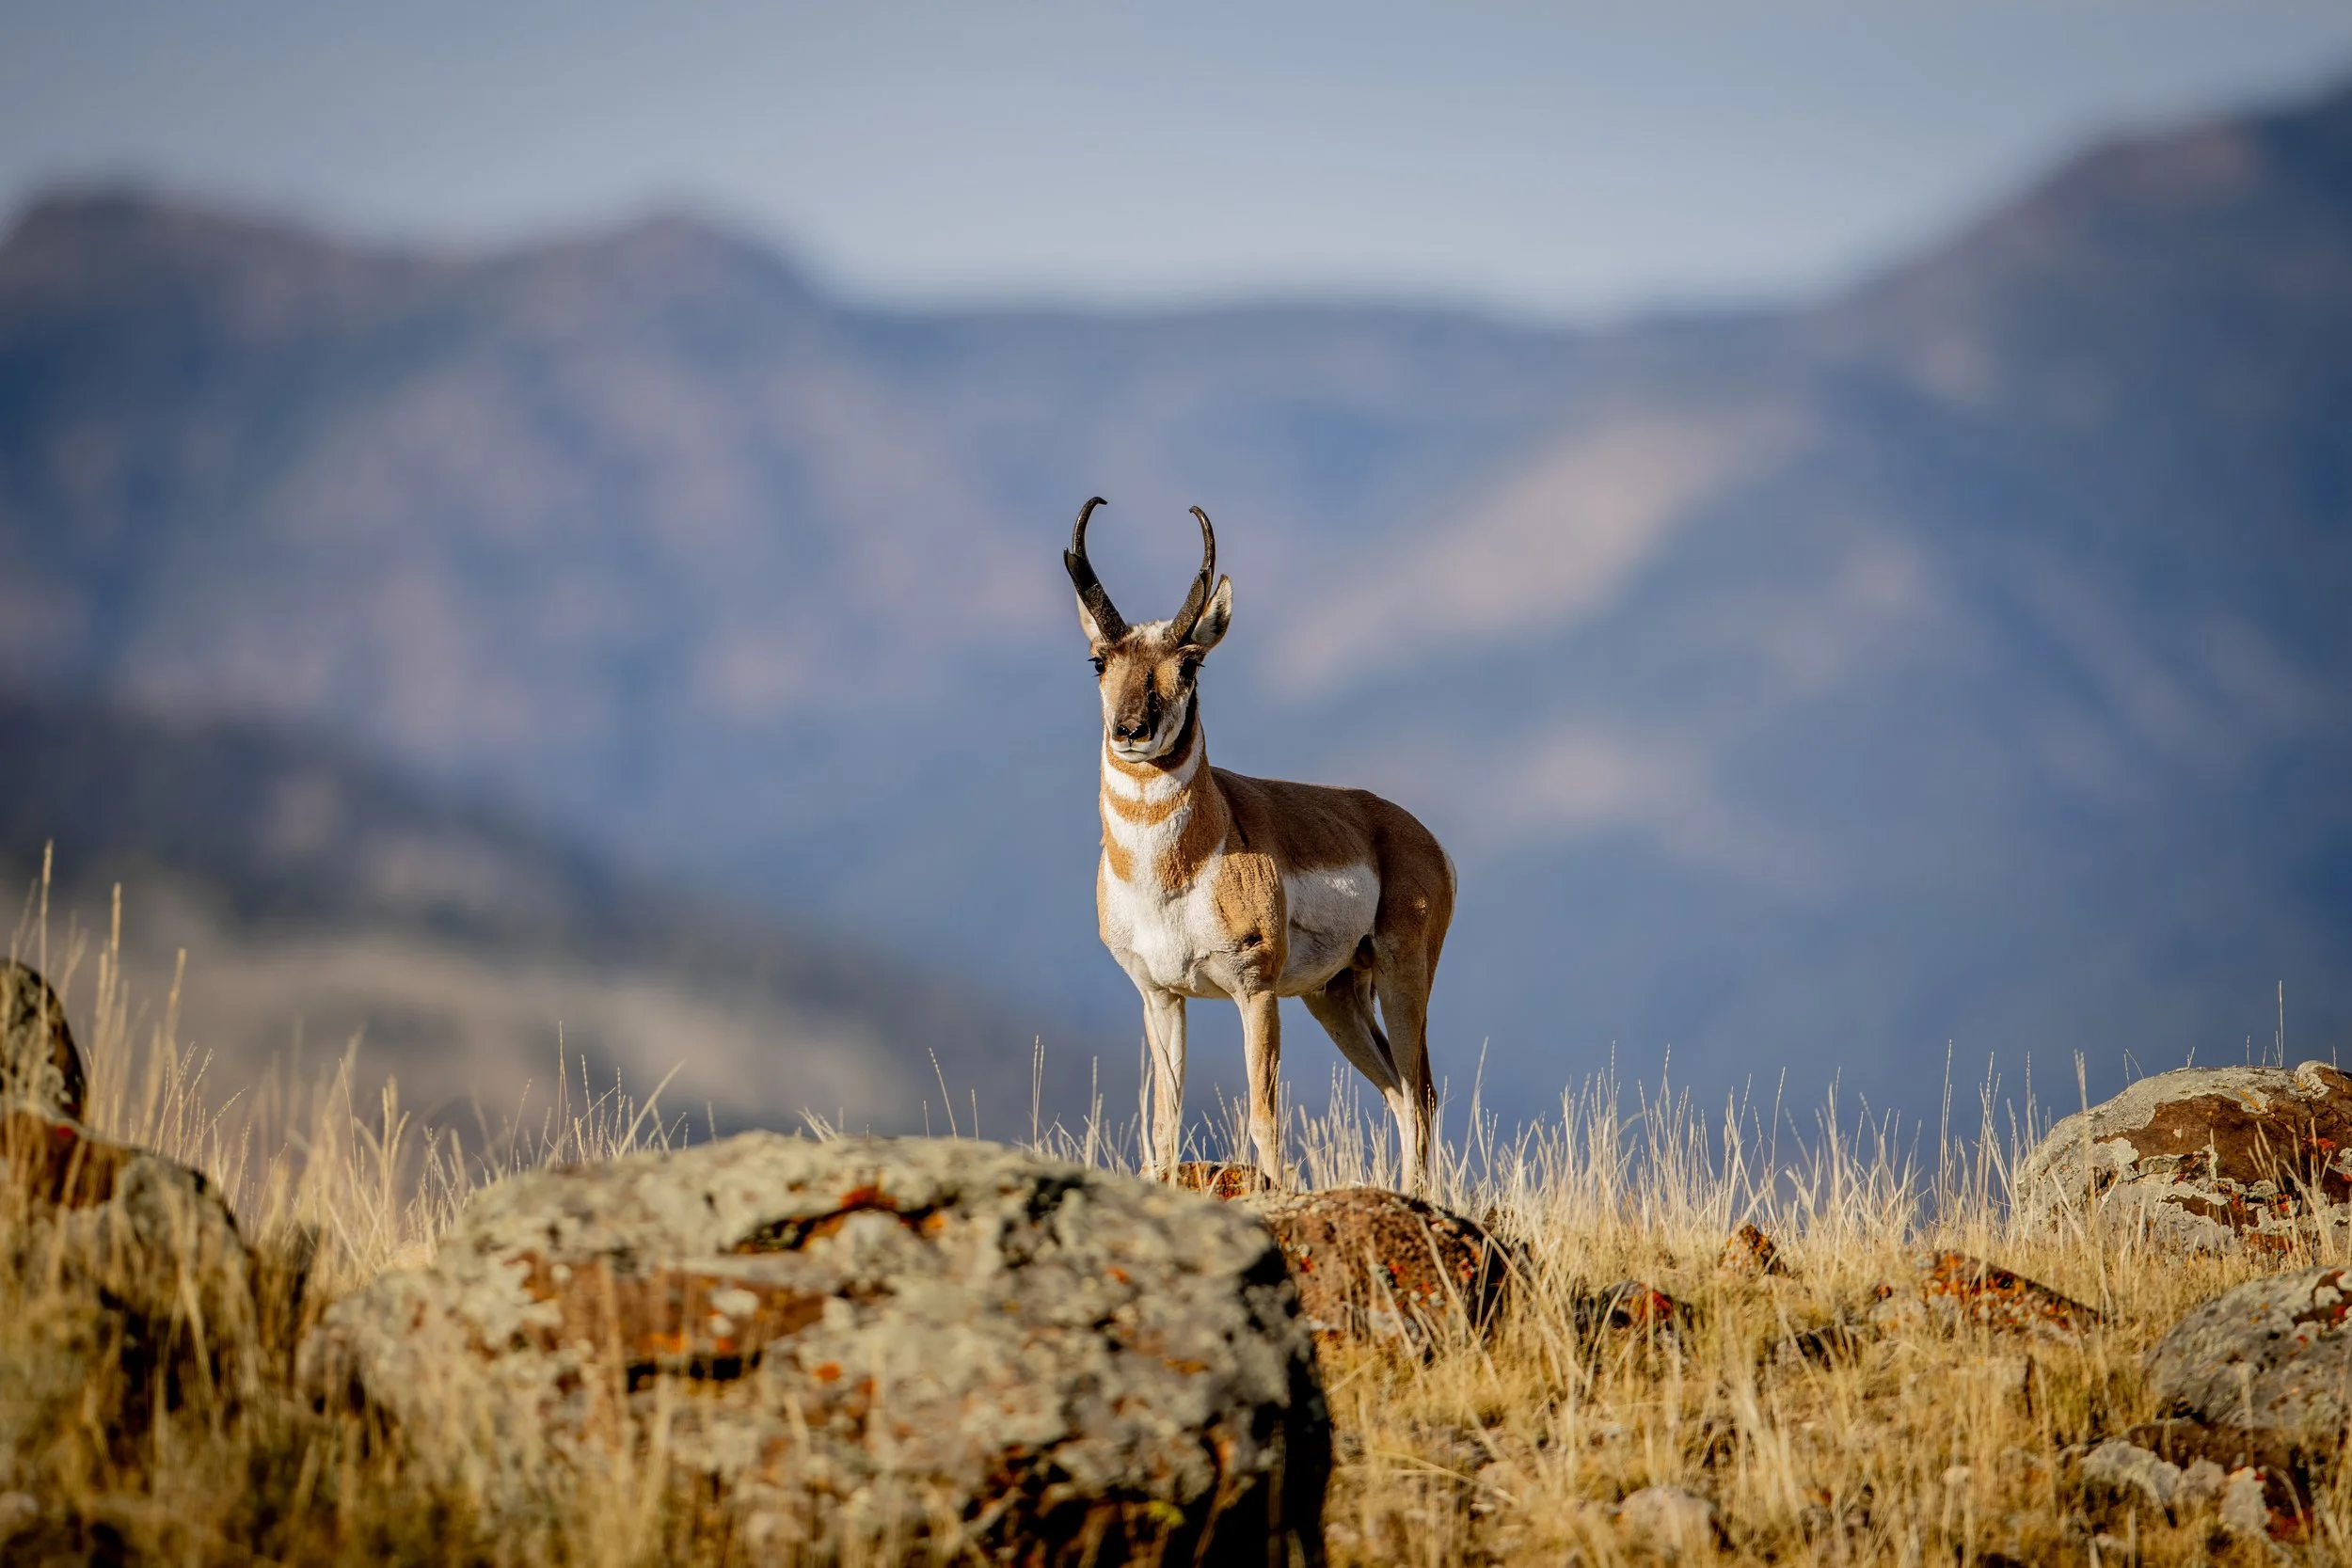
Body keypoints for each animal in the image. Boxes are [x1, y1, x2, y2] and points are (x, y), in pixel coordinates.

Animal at [1065, 498, 1454, 1194]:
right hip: (1335, 996)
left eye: (1190, 664)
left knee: (1421, 1090)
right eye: (1099, 660)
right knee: (1396, 1090)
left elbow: (1263, 1113)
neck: (1177, 871)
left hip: (1402, 975)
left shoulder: (1256, 993)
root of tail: (1414, 831)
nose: (1131, 730)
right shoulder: (1160, 996)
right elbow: (1163, 1120)